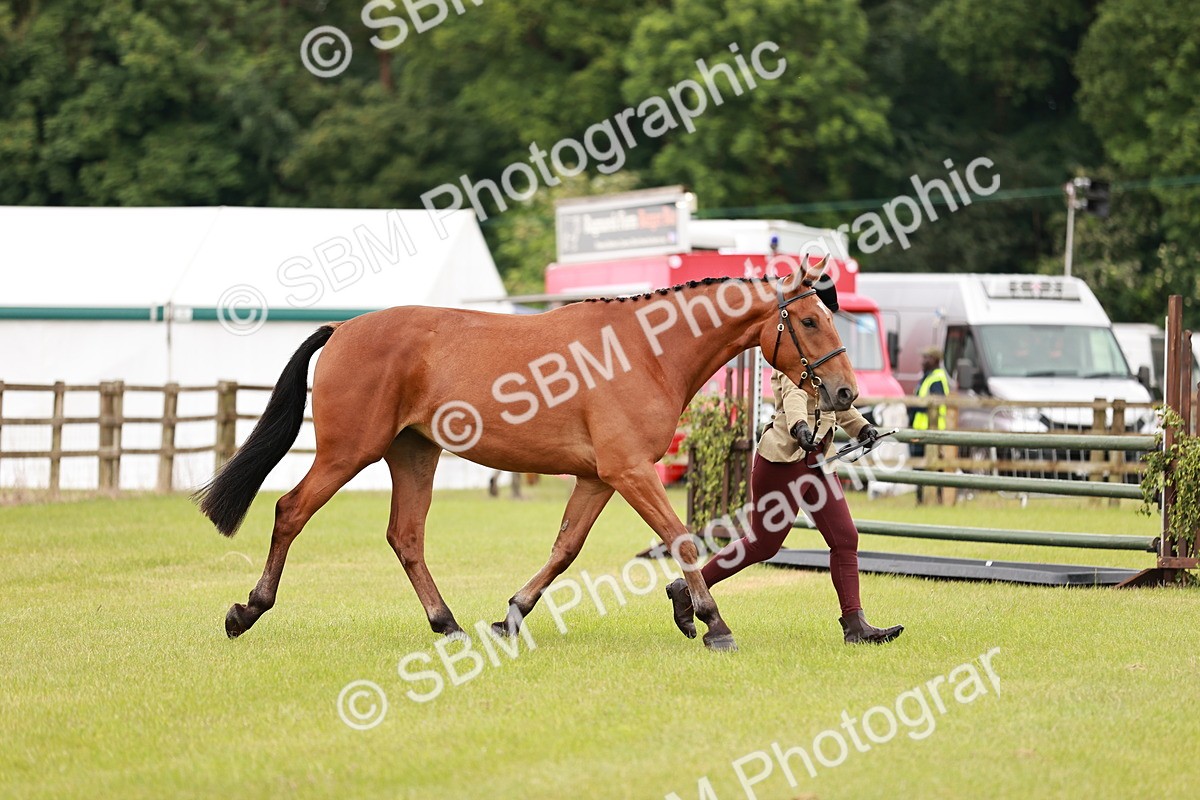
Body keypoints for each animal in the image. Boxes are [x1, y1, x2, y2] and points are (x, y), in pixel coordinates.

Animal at [194, 257, 857, 651]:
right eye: (808, 321)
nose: (845, 392)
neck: (646, 350)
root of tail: (344, 328)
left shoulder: (600, 478)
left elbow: (565, 549)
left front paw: (510, 615)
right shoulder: (630, 472)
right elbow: (682, 538)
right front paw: (712, 623)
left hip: (414, 456)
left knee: (406, 538)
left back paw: (449, 625)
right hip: (347, 453)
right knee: (291, 512)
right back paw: (247, 611)